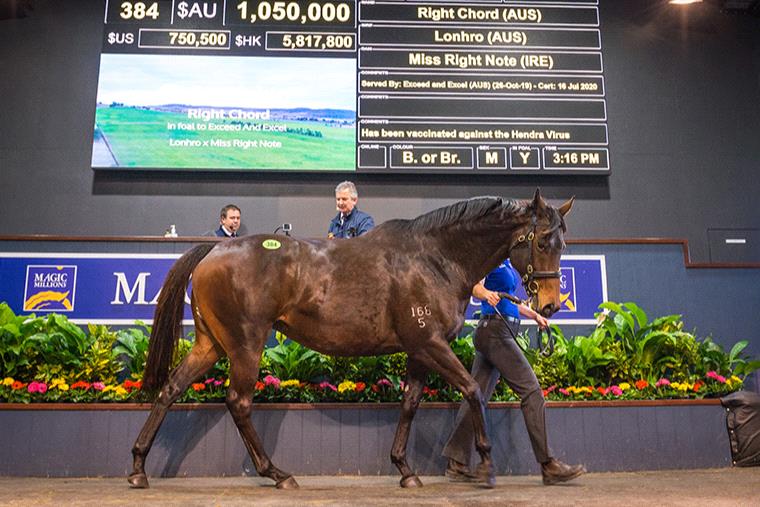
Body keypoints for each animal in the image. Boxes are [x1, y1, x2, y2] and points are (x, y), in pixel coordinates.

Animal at [129, 190, 568, 488]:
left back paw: (138, 468)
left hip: (211, 345)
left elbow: (410, 404)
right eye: (543, 241)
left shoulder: (419, 350)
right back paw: (277, 473)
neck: (433, 259)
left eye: (563, 243)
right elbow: (473, 390)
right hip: (245, 345)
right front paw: (485, 465)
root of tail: (214, 250)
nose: (548, 305)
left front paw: (405, 470)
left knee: (171, 389)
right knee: (238, 402)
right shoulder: (431, 344)